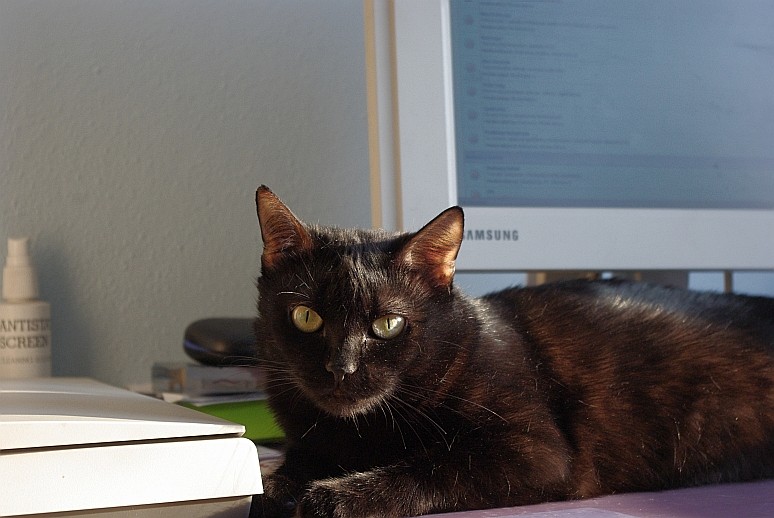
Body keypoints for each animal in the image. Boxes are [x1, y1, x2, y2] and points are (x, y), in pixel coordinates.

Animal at [250, 185, 774, 518]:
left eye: (388, 325)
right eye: (306, 317)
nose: (340, 368)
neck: (360, 432)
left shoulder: (534, 451)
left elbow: (431, 467)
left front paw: (338, 496)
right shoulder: (311, 441)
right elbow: (285, 467)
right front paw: (272, 491)